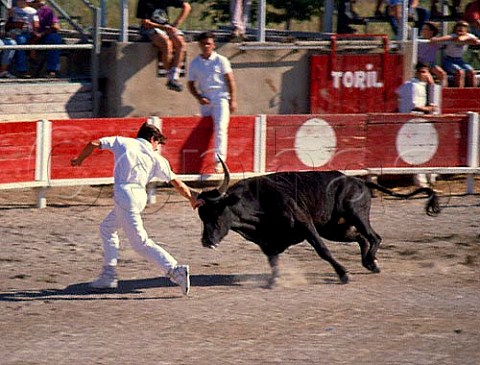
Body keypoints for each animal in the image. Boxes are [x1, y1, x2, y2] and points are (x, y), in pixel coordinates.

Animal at [194, 161, 438, 286]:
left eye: (217, 213)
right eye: (202, 217)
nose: (207, 241)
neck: (258, 203)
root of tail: (358, 180)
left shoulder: (305, 225)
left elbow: (322, 251)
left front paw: (343, 274)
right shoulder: (268, 242)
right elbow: (273, 261)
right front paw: (274, 280)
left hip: (355, 214)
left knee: (373, 237)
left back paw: (371, 262)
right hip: (335, 229)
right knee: (361, 238)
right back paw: (371, 264)